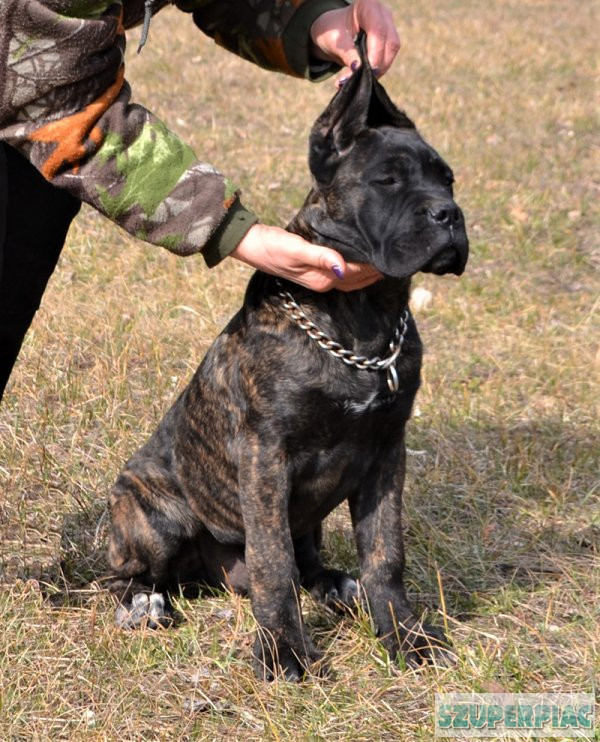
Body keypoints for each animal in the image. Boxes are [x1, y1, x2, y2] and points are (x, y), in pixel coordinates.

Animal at [106, 36, 468, 684]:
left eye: (447, 180)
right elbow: (273, 564)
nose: (448, 215)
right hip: (153, 511)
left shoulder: (387, 451)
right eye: (388, 180)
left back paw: (336, 585)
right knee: (130, 574)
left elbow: (385, 553)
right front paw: (284, 652)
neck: (364, 315)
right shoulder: (265, 456)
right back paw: (144, 603)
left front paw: (406, 637)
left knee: (306, 560)